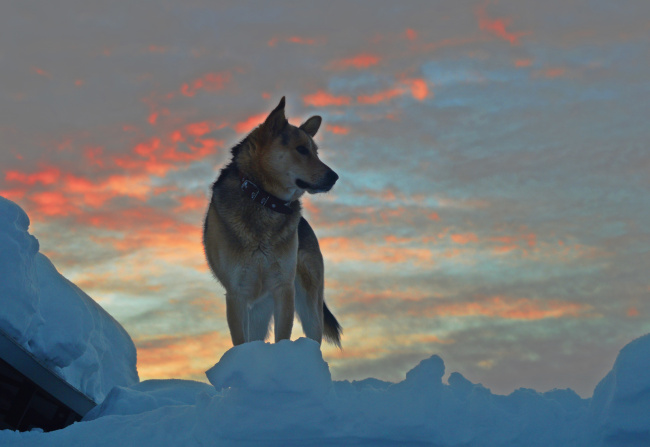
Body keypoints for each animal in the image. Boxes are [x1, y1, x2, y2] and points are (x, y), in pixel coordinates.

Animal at [202, 98, 342, 348]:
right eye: (301, 149)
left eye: (316, 152)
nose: (334, 177)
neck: (263, 199)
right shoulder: (237, 292)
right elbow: (241, 341)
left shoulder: (283, 288)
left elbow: (283, 335)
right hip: (259, 307)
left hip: (309, 300)